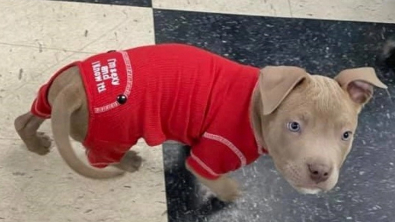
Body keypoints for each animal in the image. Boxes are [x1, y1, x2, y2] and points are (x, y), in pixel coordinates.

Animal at [14, 43, 386, 201]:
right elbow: (211, 177)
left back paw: (35, 143)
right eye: (293, 126)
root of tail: (76, 87)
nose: (320, 173)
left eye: (346, 135)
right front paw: (231, 194)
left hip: (52, 92)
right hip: (115, 132)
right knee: (97, 154)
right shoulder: (212, 155)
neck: (255, 104)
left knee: (27, 117)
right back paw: (129, 161)